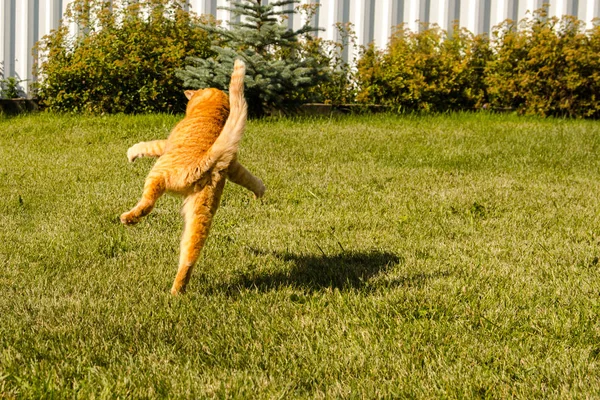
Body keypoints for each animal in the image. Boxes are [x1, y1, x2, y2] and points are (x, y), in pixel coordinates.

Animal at [119, 61, 264, 296]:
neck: (211, 113)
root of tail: (203, 161)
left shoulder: (164, 145)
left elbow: (147, 146)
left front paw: (132, 153)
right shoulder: (232, 164)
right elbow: (249, 178)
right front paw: (259, 191)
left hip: (157, 173)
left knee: (147, 204)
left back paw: (128, 218)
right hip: (201, 216)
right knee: (188, 258)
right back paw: (177, 290)